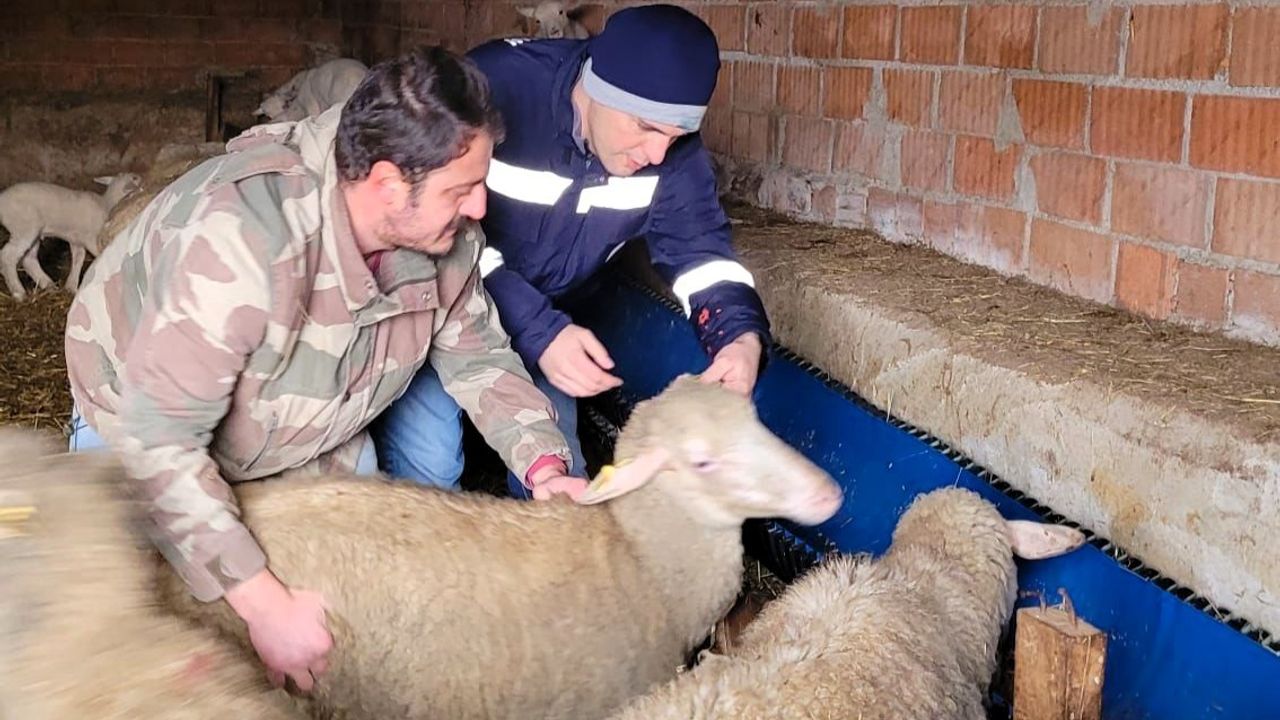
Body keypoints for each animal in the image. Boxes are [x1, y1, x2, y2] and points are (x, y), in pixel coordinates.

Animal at [0, 173, 141, 301]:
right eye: (134, 178)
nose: (140, 178)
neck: (107, 204)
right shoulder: (93, 238)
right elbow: (101, 256)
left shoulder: (77, 240)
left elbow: (78, 260)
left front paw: (72, 287)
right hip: (25, 228)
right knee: (7, 256)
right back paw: (18, 292)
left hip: (33, 233)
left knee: (29, 259)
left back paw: (49, 286)